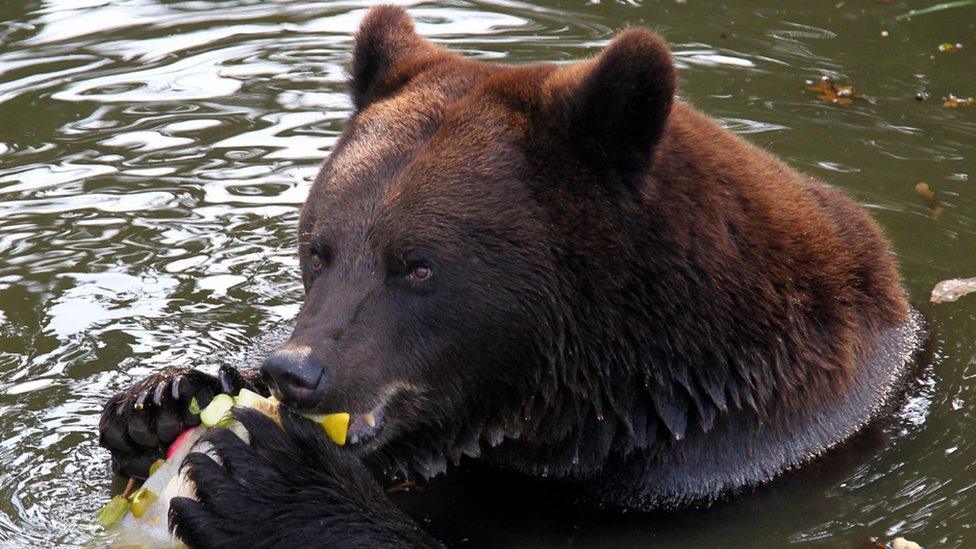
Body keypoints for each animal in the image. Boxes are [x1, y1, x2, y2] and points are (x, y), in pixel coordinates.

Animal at [98, 5, 924, 546]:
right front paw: (161, 402)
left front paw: (270, 479)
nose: (295, 369)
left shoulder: (685, 477)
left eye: (417, 265)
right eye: (319, 249)